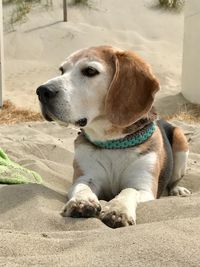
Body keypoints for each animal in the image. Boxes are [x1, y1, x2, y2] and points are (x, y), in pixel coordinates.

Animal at [36, 45, 191, 228]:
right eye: (62, 70)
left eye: (90, 71)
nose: (42, 91)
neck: (113, 142)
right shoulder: (86, 176)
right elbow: (82, 187)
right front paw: (82, 202)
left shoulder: (144, 188)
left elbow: (128, 190)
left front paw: (118, 210)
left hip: (181, 141)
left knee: (174, 180)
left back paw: (178, 190)